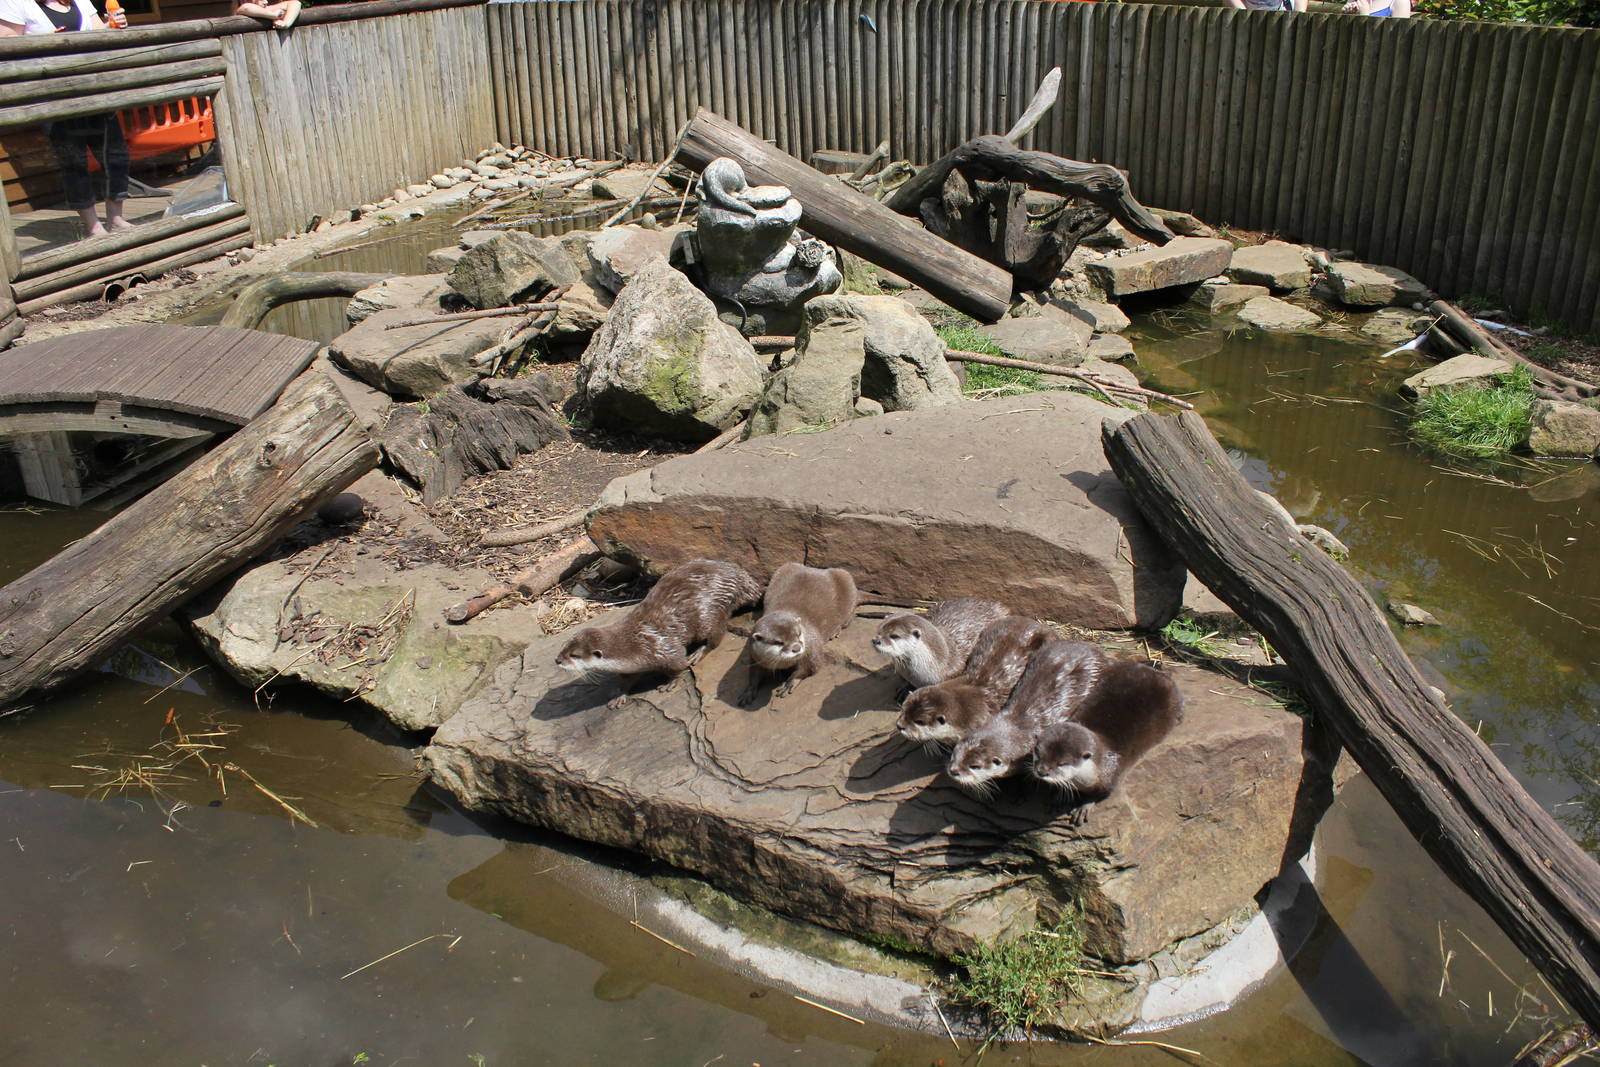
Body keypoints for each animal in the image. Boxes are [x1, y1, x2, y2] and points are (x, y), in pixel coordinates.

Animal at [556, 559, 763, 707]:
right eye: (564, 647)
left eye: (574, 655)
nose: (557, 660)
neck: (631, 645)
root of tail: (739, 578)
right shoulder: (633, 666)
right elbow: (627, 680)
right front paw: (619, 694)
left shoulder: (660, 648)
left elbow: (678, 663)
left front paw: (670, 682)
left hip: (709, 612)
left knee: (716, 634)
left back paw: (698, 653)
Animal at [739, 562, 857, 705]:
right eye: (779, 642)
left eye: (798, 633)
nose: (797, 648)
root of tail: (817, 570)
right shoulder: (755, 655)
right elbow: (754, 673)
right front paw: (748, 691)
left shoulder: (813, 646)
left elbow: (811, 667)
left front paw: (790, 682)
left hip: (846, 580)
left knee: (849, 617)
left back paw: (836, 630)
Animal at [1032, 658, 1184, 825]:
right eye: (1038, 753)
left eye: (1062, 763)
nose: (1041, 771)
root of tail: (1156, 671)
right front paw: (1056, 799)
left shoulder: (1111, 776)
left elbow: (1102, 794)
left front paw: (1084, 806)